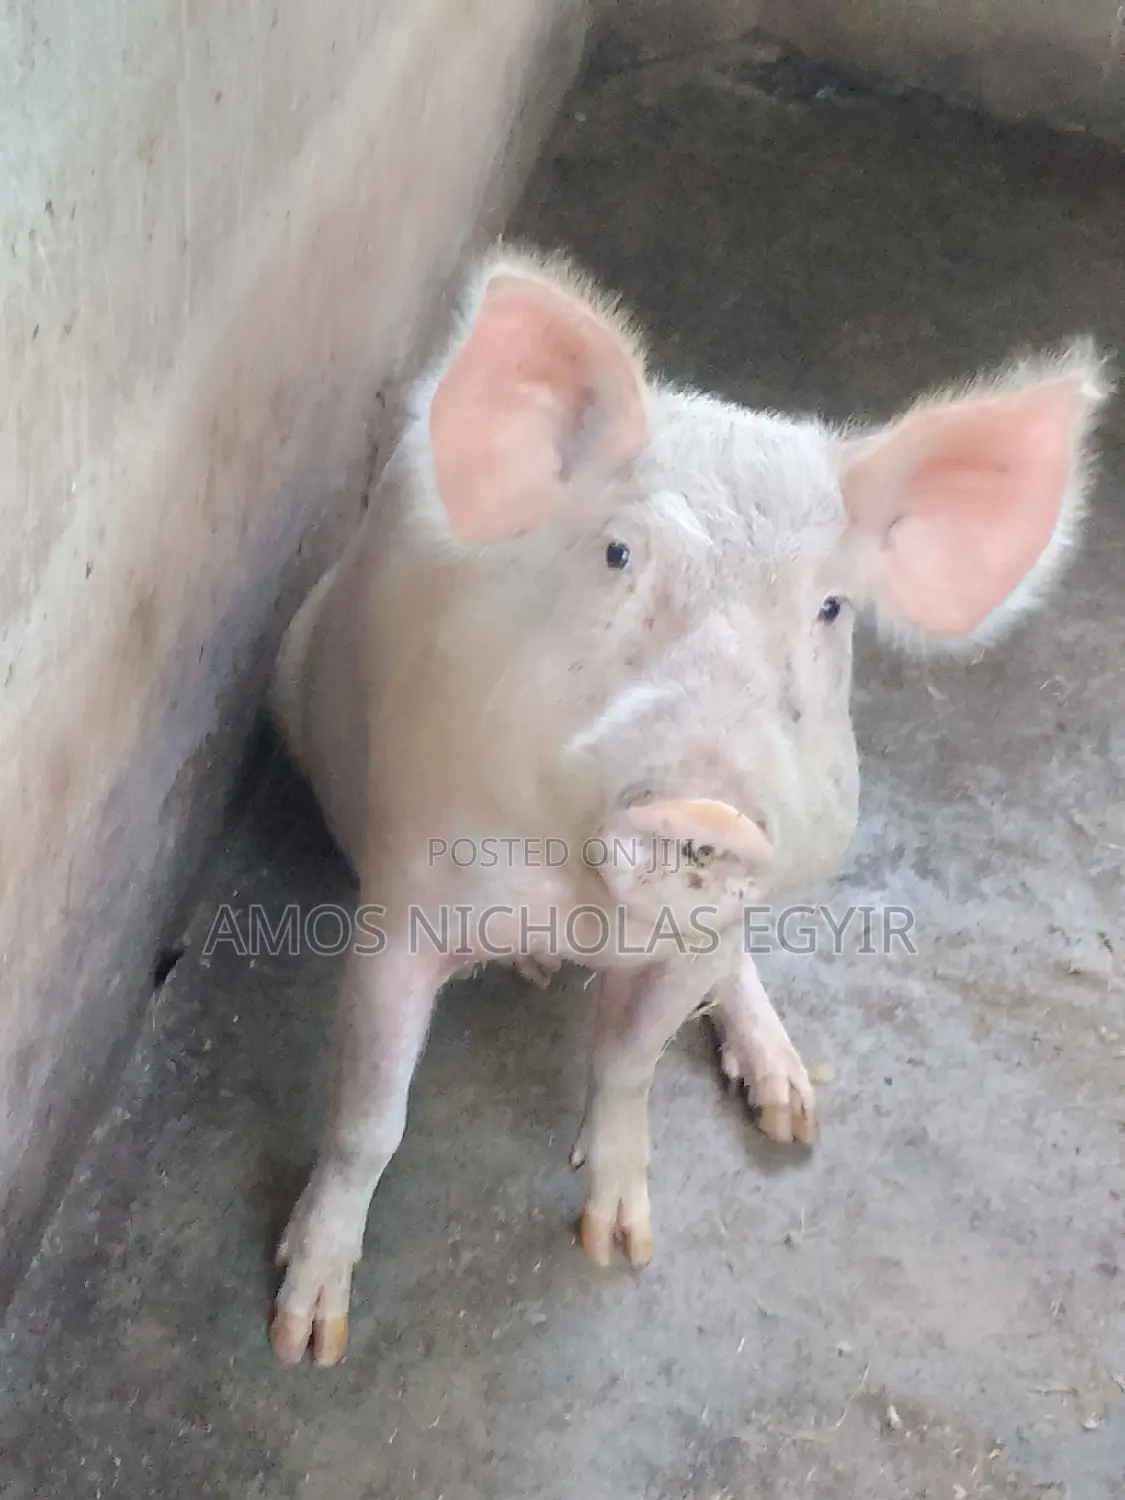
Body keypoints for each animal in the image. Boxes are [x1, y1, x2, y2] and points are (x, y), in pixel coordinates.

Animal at [265, 241, 1110, 1366]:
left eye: (831, 607)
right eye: (619, 554)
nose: (707, 810)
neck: (590, 914)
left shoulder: (702, 935)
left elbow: (629, 1061)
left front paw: (618, 1245)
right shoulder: (405, 897)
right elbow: (370, 1118)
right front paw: (303, 1333)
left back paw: (789, 1105)